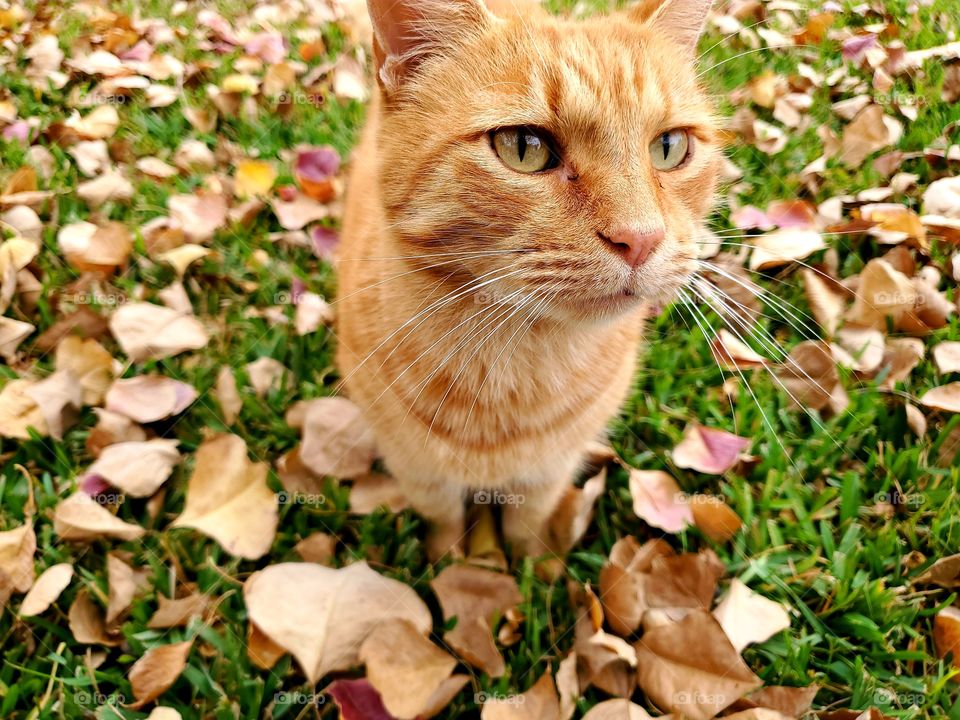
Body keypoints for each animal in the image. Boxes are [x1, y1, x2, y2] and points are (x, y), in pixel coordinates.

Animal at [338, 0, 720, 560]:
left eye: (669, 147)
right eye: (524, 147)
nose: (640, 237)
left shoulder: (549, 471)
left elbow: (528, 523)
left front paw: (534, 567)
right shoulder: (416, 471)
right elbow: (443, 521)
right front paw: (451, 564)